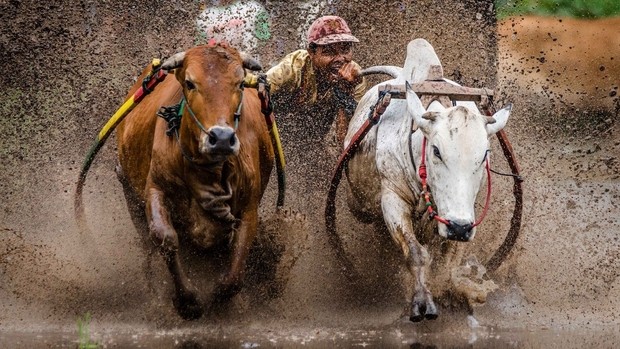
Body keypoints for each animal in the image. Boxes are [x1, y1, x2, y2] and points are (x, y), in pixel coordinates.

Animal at [112, 44, 276, 320]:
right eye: (190, 83)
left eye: (240, 83)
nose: (221, 138)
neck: (209, 171)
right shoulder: (155, 187)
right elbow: (165, 237)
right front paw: (187, 300)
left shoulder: (249, 207)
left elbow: (236, 269)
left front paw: (220, 295)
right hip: (129, 192)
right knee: (148, 247)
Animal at [342, 38, 512, 320]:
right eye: (436, 151)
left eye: (484, 155)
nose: (459, 227)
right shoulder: (393, 199)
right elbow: (416, 253)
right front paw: (423, 302)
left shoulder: (464, 214)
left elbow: (447, 263)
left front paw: (453, 295)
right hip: (358, 204)